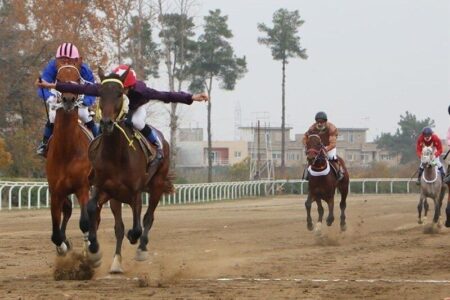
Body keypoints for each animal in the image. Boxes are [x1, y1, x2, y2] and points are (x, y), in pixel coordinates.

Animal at [85, 67, 173, 274]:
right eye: (100, 93)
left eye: (119, 93)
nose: (107, 123)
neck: (115, 154)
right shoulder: (102, 187)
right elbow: (93, 208)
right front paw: (94, 250)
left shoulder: (135, 192)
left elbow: (137, 226)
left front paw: (134, 238)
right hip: (115, 197)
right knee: (119, 227)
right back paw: (116, 262)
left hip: (157, 185)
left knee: (148, 218)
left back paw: (141, 248)